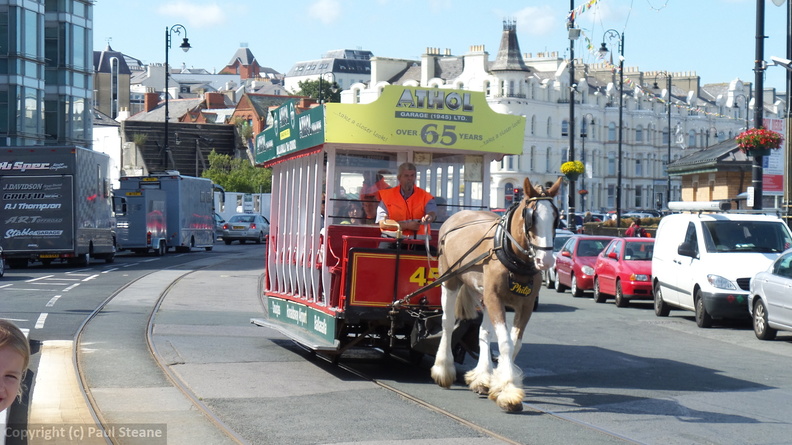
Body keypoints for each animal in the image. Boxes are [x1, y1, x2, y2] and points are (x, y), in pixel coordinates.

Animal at [430, 176, 561, 412]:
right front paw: (508, 391)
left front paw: (498, 382)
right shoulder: (495, 299)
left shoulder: (525, 304)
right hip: (450, 280)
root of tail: (459, 213)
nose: (545, 261)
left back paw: (482, 377)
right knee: (447, 322)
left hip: (482, 295)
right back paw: (443, 369)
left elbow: (514, 343)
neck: (512, 254)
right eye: (531, 217)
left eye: (556, 218)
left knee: (483, 332)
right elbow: (505, 342)